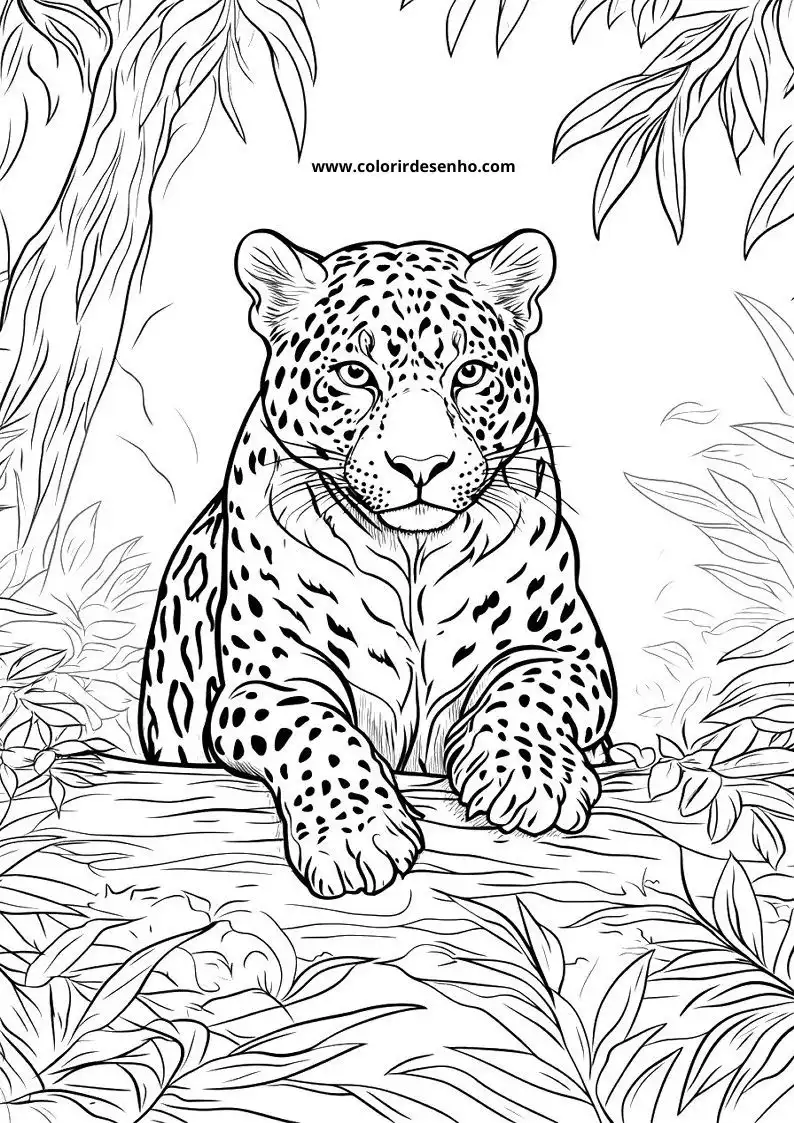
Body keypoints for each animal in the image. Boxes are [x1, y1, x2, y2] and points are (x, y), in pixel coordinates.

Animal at [138, 228, 617, 899]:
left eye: (470, 373)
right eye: (355, 375)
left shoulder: (566, 649)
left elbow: (530, 689)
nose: (421, 464)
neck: (410, 556)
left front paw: (526, 779)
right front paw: (356, 836)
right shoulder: (269, 678)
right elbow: (313, 729)